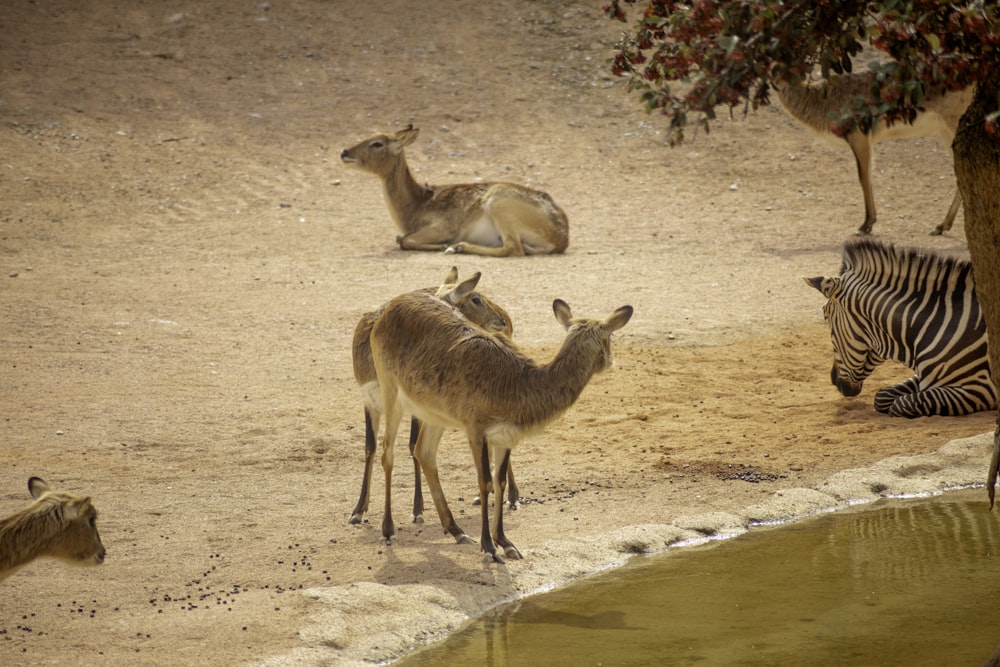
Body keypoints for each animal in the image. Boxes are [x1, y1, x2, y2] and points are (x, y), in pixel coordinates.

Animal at [340, 126, 572, 258]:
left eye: (377, 143)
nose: (344, 152)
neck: (416, 206)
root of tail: (561, 236)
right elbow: (400, 239)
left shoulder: (442, 227)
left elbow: (405, 241)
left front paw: (443, 245)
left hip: (501, 205)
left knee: (514, 249)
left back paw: (457, 247)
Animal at [350, 266, 520, 528]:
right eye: (475, 298)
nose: (503, 320)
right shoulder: (369, 402)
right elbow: (370, 447)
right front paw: (358, 509)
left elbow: (412, 446)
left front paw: (417, 509)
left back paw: (511, 497)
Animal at [368, 292, 632, 564]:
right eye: (609, 336)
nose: (611, 361)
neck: (517, 384)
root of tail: (392, 306)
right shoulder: (475, 430)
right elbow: (484, 482)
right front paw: (489, 548)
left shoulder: (505, 438)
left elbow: (500, 482)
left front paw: (506, 543)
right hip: (391, 392)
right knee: (387, 452)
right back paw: (388, 532)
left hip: (434, 414)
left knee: (424, 452)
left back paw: (458, 532)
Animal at [768, 72, 972, 235]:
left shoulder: (860, 136)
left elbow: (863, 176)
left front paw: (866, 225)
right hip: (945, 132)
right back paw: (941, 226)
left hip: (953, 125)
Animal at [808, 239, 996, 418]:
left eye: (826, 316)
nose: (833, 380)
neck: (934, 324)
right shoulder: (923, 377)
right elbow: (882, 396)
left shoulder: (979, 388)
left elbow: (901, 403)